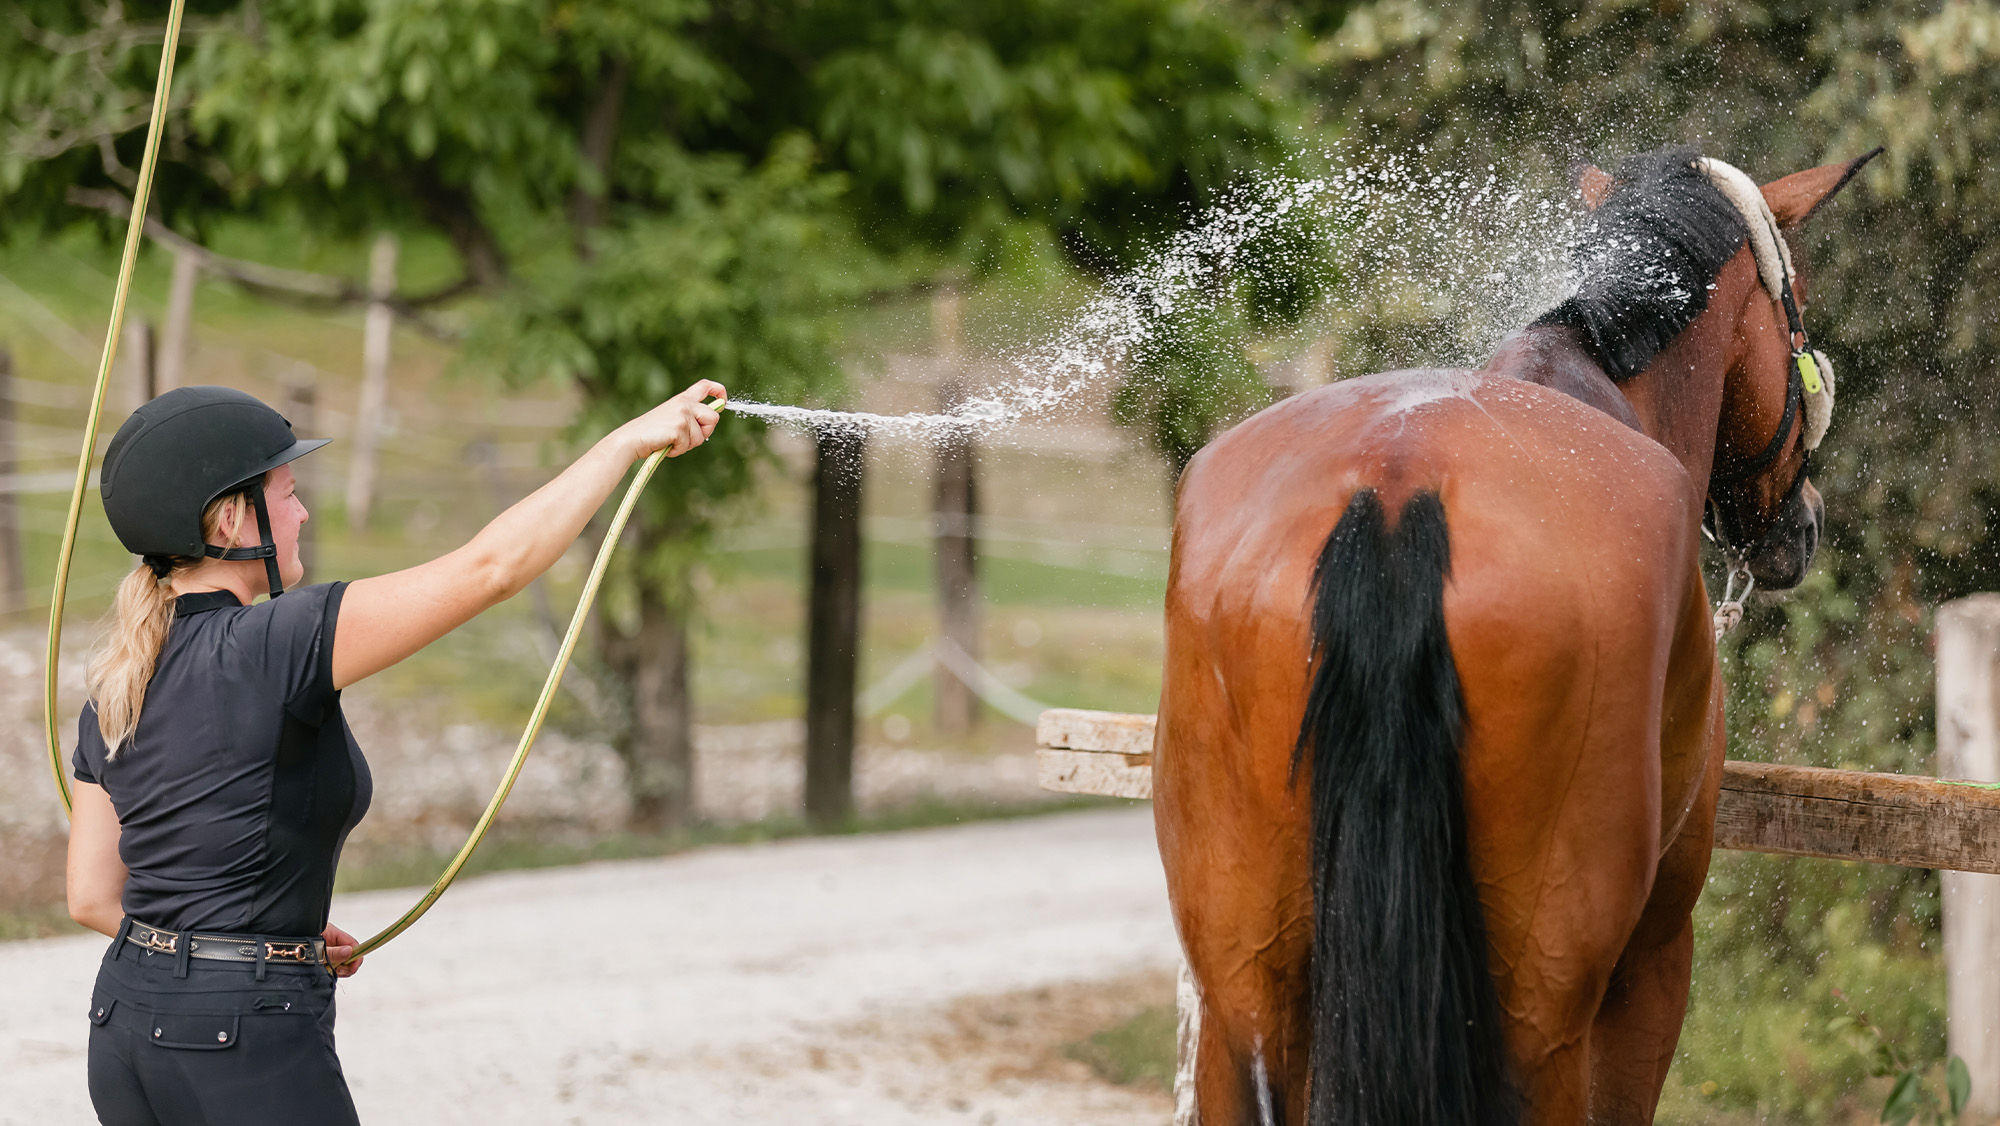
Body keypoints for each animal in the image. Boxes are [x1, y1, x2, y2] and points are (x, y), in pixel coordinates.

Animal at [1153, 145, 1880, 1126]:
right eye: (1793, 305)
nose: (1803, 526)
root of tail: (1396, 486)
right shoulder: (1654, 961)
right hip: (1543, 1012)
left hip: (1242, 1000)